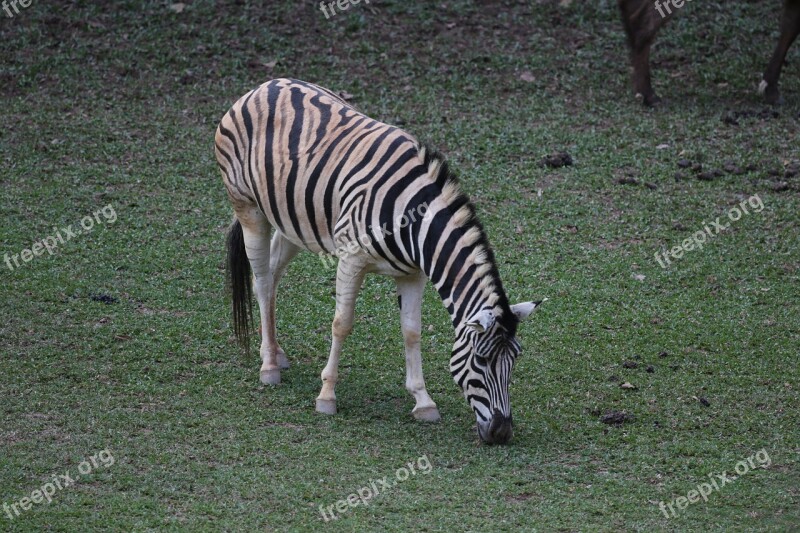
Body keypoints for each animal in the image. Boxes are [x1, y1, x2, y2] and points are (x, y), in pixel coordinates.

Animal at [214, 78, 544, 444]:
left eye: (515, 359)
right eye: (482, 360)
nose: (501, 433)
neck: (414, 220)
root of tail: (266, 85)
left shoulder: (413, 273)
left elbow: (412, 331)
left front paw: (423, 401)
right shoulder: (351, 258)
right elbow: (341, 324)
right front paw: (327, 396)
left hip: (292, 220)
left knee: (272, 276)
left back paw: (275, 351)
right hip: (248, 208)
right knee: (260, 279)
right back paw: (268, 366)